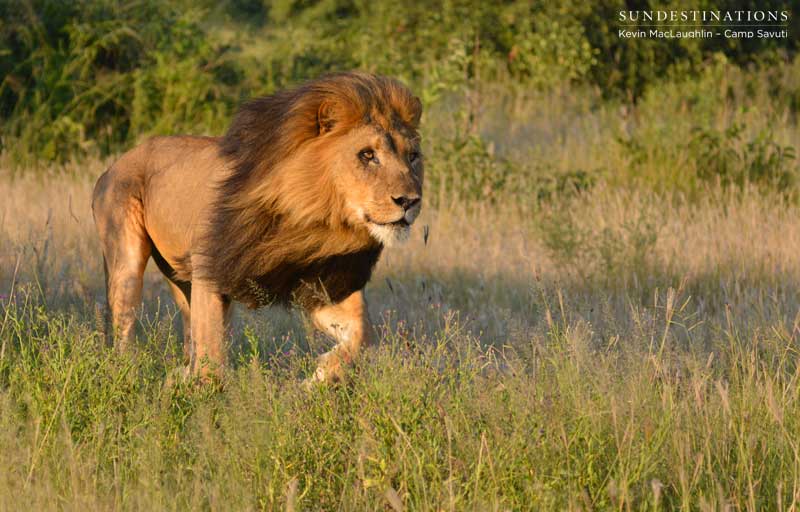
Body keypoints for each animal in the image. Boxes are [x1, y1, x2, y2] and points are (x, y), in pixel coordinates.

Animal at [92, 72, 423, 383]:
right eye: (367, 155)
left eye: (413, 157)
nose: (409, 200)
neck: (306, 220)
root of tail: (116, 163)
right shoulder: (211, 267)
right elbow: (212, 354)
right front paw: (198, 391)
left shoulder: (320, 281)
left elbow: (363, 333)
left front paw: (320, 378)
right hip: (126, 258)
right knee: (124, 326)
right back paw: (127, 376)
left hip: (180, 277)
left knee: (189, 332)